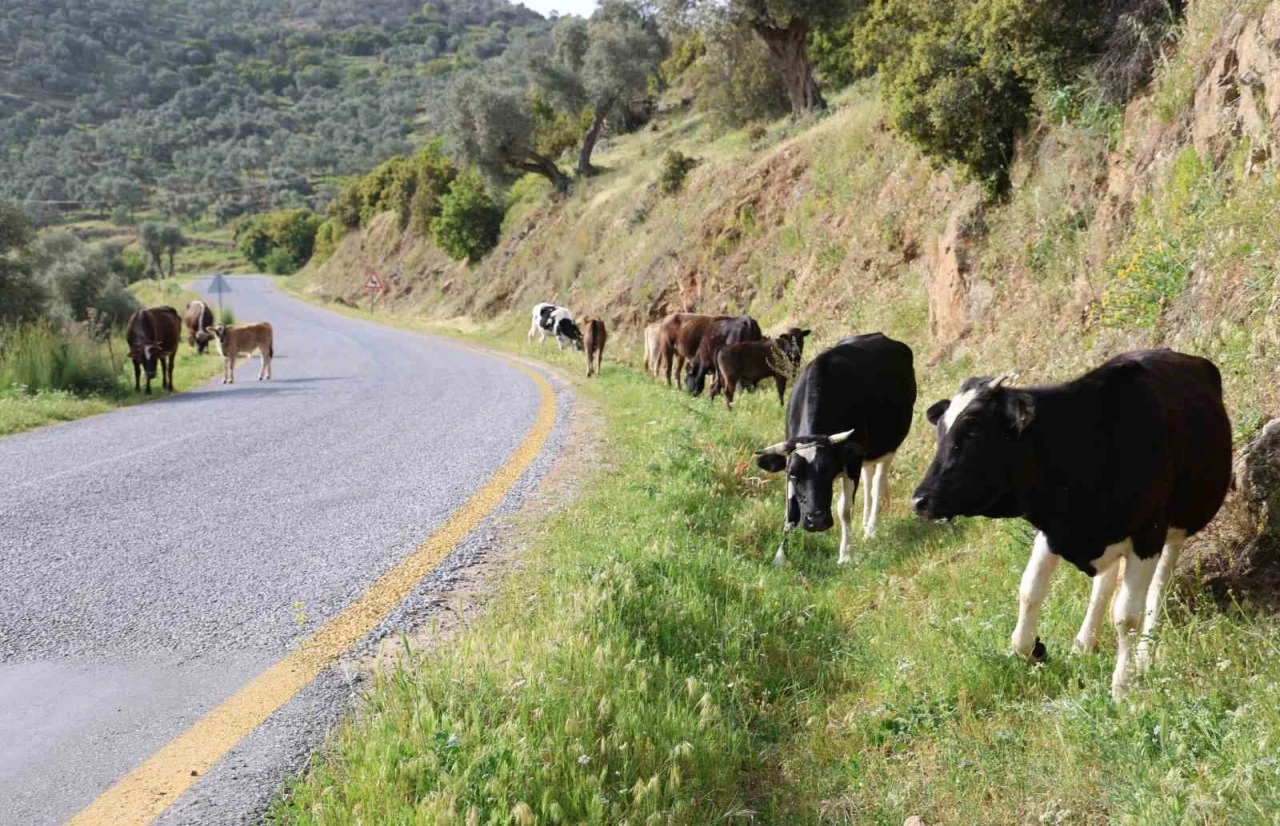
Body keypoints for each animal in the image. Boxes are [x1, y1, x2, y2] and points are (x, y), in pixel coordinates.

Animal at [752, 332, 916, 563]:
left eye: (827, 470)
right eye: (793, 475)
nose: (817, 521)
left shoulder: (852, 459)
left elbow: (844, 509)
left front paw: (846, 554)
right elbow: (790, 512)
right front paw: (780, 556)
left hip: (888, 445)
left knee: (876, 483)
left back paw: (871, 528)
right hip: (867, 452)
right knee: (868, 476)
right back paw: (865, 523)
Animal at [911, 348, 1228, 696]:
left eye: (972, 433)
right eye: (940, 434)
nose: (920, 500)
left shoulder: (1147, 534)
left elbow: (1127, 617)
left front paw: (1123, 686)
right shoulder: (1053, 530)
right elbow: (1029, 591)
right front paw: (1034, 650)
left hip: (1176, 529)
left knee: (1157, 587)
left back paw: (1144, 657)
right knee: (1104, 586)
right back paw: (1083, 645)